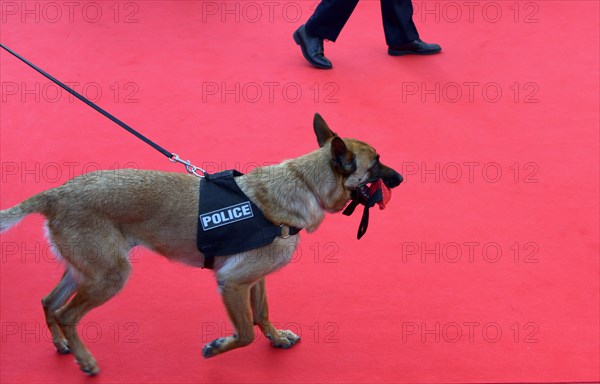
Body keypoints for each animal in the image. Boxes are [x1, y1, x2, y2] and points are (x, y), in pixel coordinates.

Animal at [2, 113, 404, 376]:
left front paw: (276, 339)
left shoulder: (255, 281)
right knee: (66, 314)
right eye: (376, 164)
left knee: (49, 303)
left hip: (85, 271)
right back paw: (84, 360)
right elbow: (244, 333)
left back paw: (62, 347)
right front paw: (217, 349)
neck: (302, 183)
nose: (401, 178)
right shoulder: (232, 283)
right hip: (109, 277)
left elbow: (262, 314)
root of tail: (57, 193)